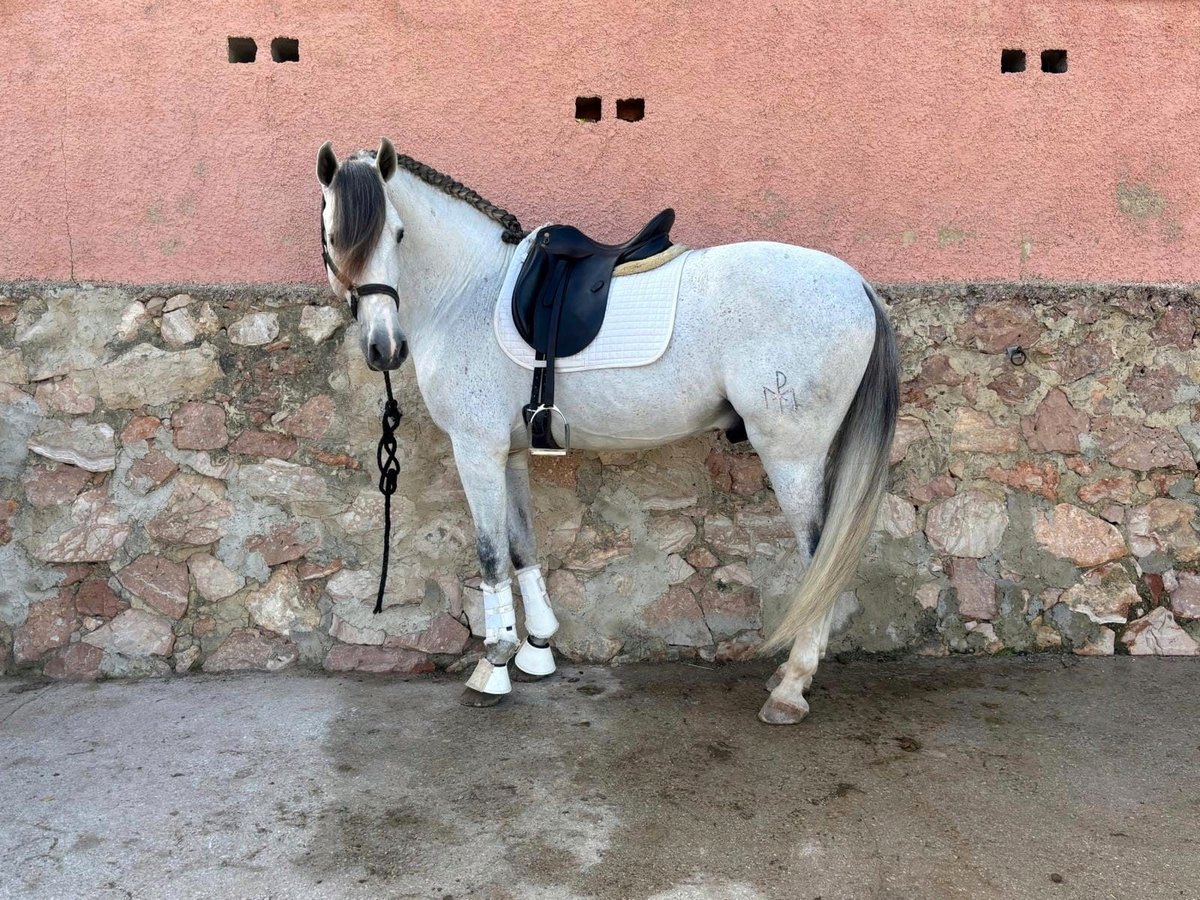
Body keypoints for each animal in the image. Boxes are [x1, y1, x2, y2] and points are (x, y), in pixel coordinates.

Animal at [316, 138, 898, 724]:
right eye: (333, 235)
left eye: (398, 233)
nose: (385, 348)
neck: (467, 292)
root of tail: (857, 284)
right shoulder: (510, 453)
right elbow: (522, 546)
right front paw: (537, 649)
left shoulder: (475, 449)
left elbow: (490, 552)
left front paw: (494, 664)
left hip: (793, 456)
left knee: (819, 556)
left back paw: (790, 689)